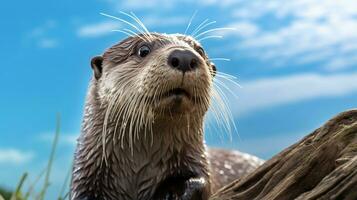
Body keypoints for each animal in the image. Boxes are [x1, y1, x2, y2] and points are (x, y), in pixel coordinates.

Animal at [70, 32, 262, 199]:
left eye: (200, 50)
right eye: (143, 50)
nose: (184, 57)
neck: (139, 168)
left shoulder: (198, 163)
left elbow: (200, 182)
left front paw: (173, 192)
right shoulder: (86, 177)